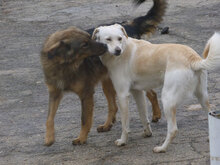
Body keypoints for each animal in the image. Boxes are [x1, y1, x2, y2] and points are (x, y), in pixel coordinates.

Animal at [92, 23, 220, 153]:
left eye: (119, 38)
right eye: (108, 39)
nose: (118, 50)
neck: (124, 48)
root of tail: (193, 59)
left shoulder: (122, 94)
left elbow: (125, 124)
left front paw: (123, 141)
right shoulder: (138, 92)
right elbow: (143, 116)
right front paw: (147, 133)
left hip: (167, 100)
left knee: (173, 129)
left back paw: (162, 148)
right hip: (202, 97)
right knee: (209, 113)